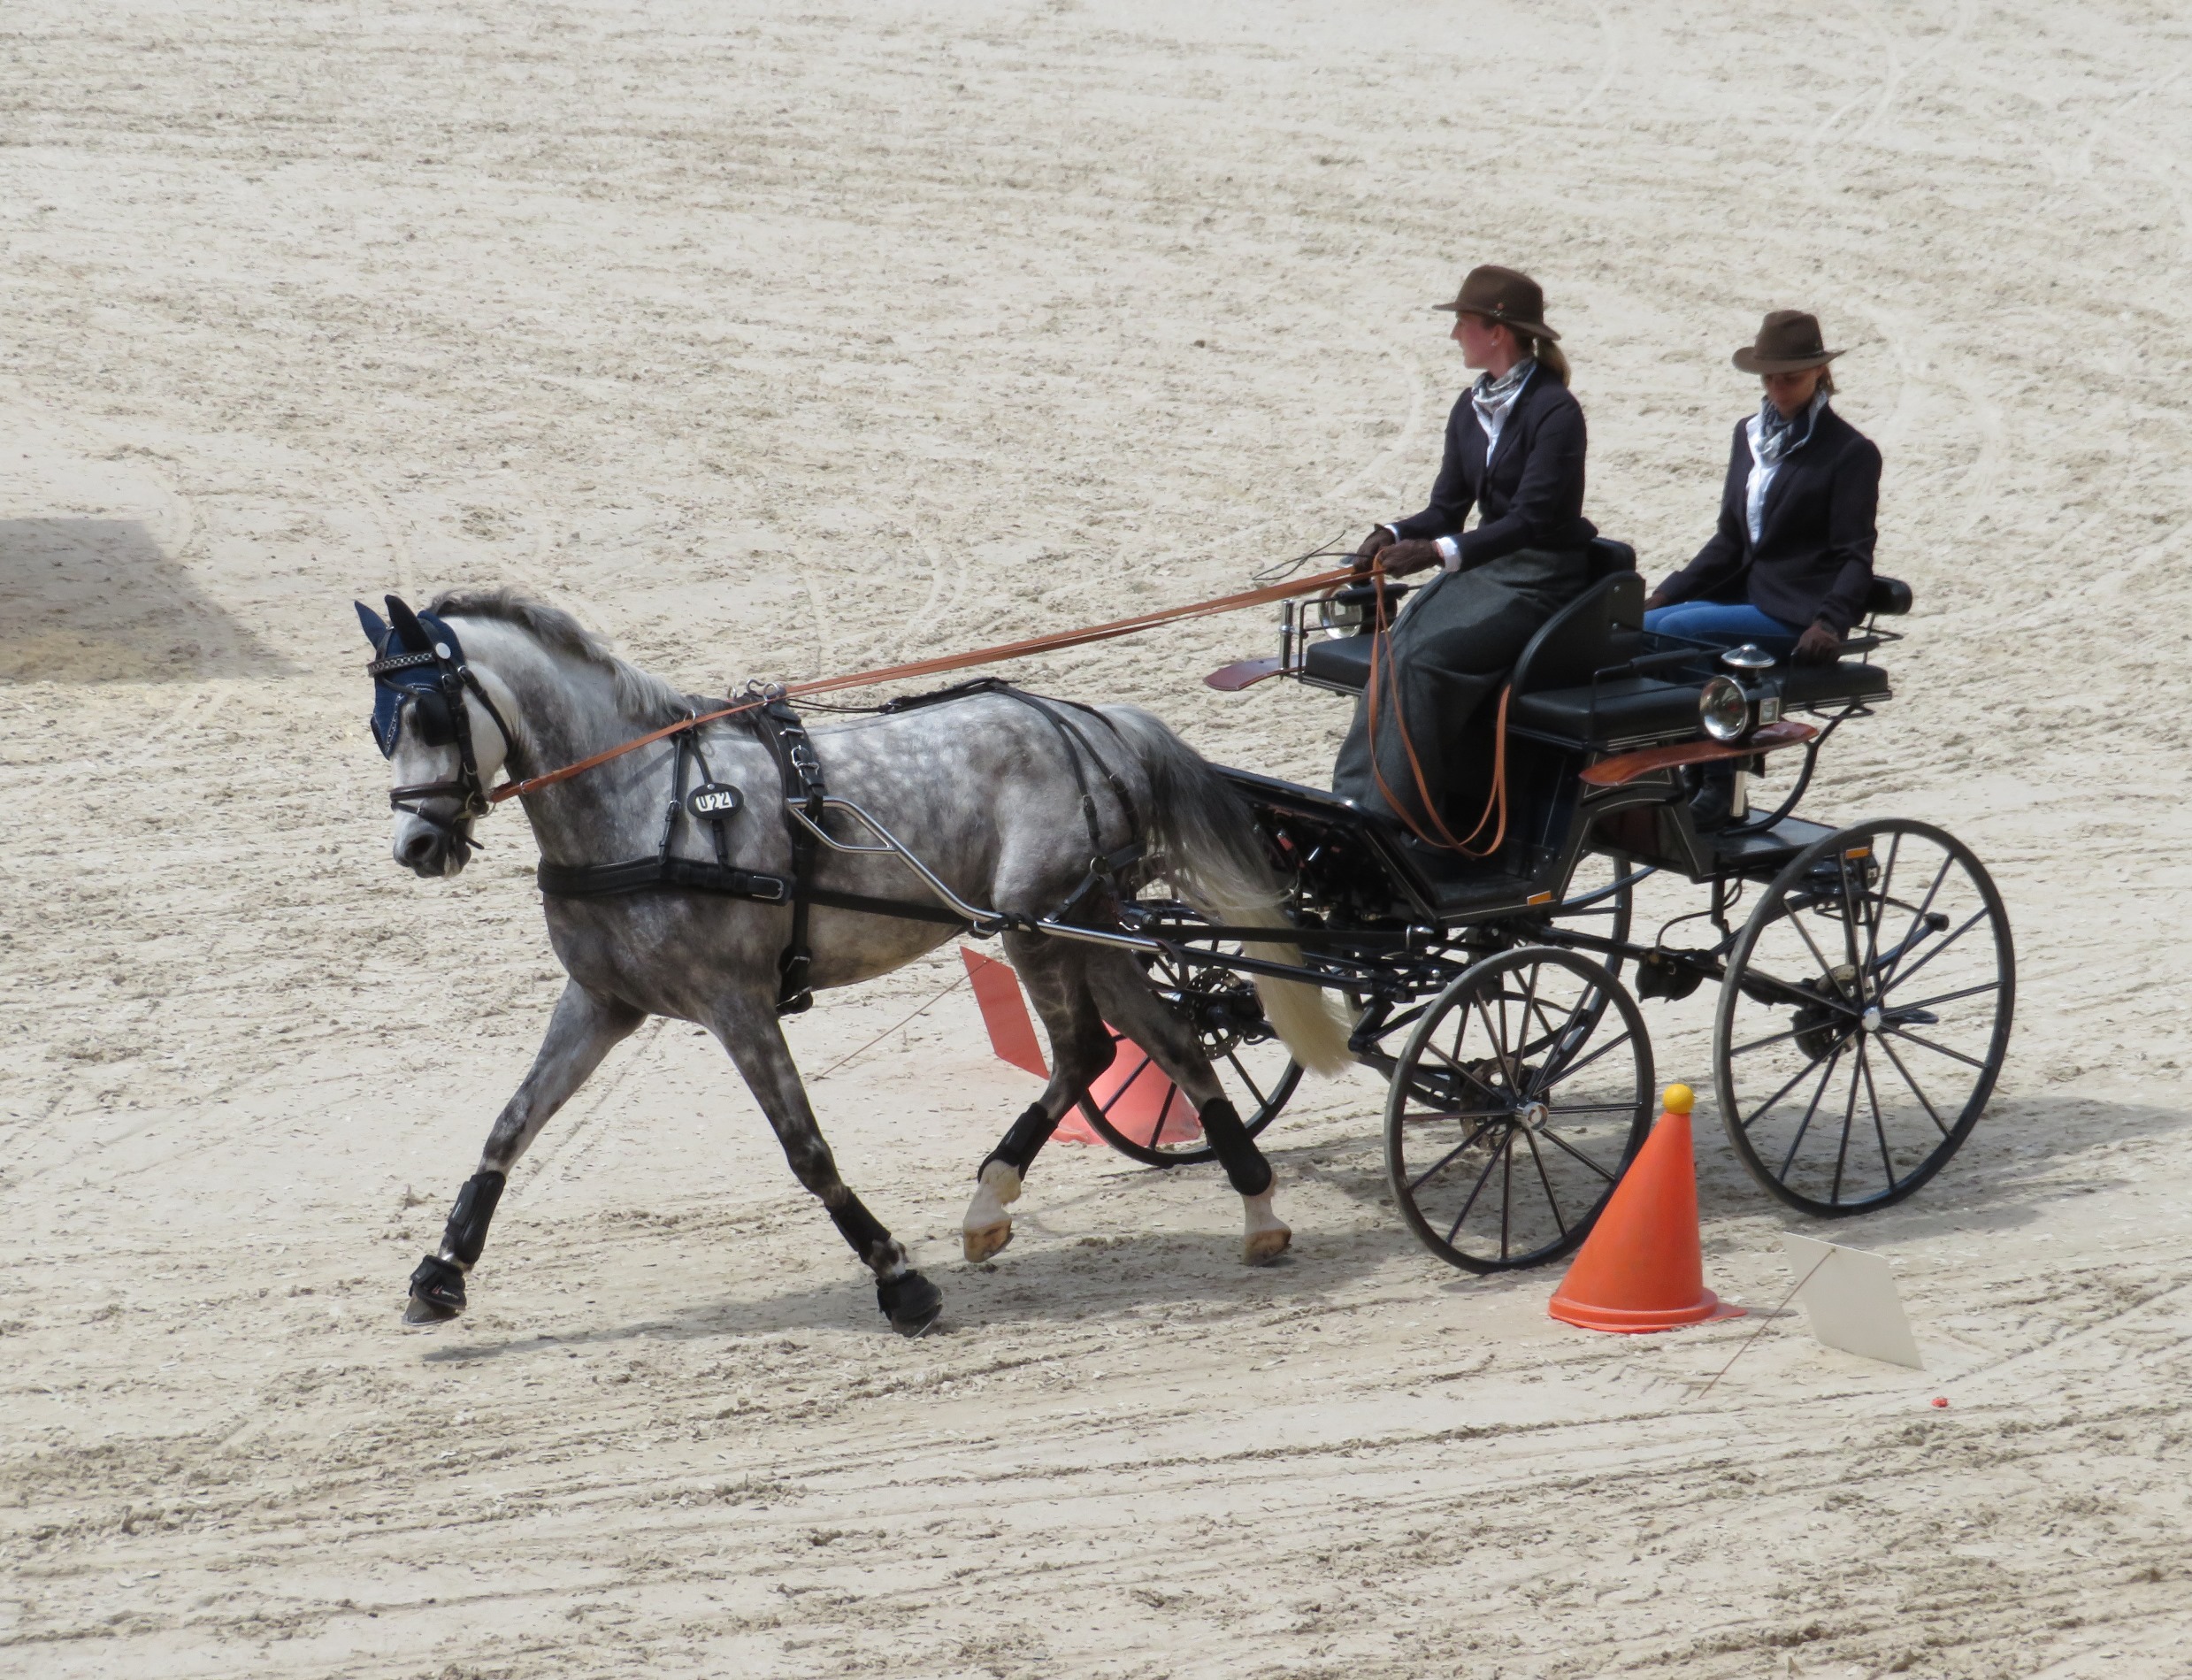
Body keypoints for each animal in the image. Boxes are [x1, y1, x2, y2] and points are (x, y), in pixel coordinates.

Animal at [361, 592, 1350, 1342]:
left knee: (1096, 1051)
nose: (417, 846)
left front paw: (897, 1277)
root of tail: (1092, 721)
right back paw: (1236, 1211)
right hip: (1084, 924)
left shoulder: (736, 1005)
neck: (646, 805)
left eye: (432, 713)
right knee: (1155, 1044)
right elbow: (510, 1125)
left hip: (1039, 926)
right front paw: (441, 1271)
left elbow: (806, 1149)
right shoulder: (602, 1000)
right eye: (381, 724)